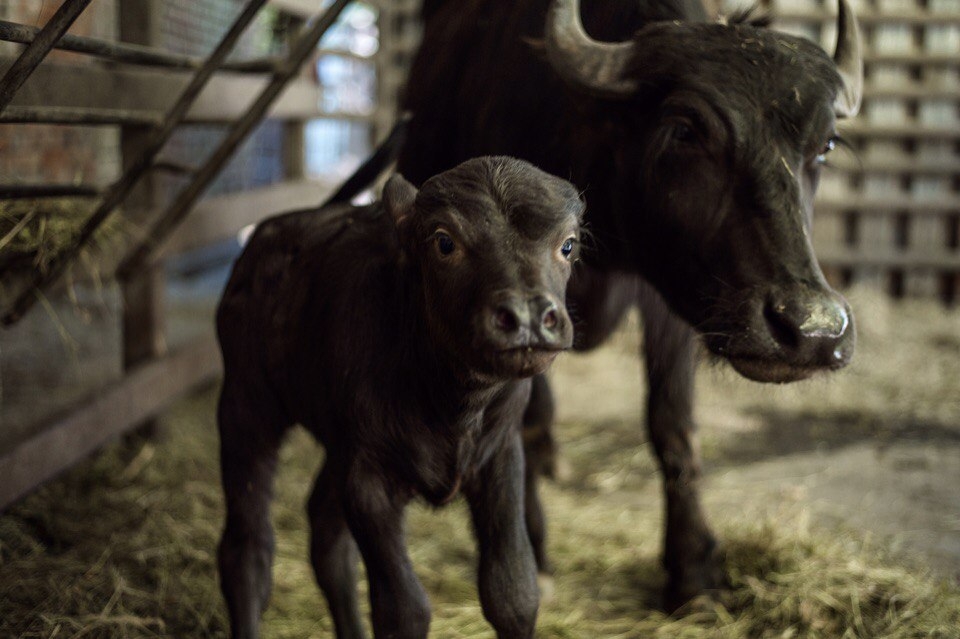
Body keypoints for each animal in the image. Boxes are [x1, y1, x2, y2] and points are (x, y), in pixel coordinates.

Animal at [218, 156, 584, 639]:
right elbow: (403, 610)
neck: (452, 403)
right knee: (247, 550)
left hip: (336, 445)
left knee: (327, 537)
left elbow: (513, 593)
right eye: (444, 241)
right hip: (246, 405)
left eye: (568, 245)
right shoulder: (368, 479)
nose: (526, 316)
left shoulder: (501, 456)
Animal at [396, 0, 864, 608]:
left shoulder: (671, 298)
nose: (813, 331)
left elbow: (673, 421)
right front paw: (534, 553)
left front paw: (693, 569)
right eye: (686, 129)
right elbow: (519, 421)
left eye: (824, 144)